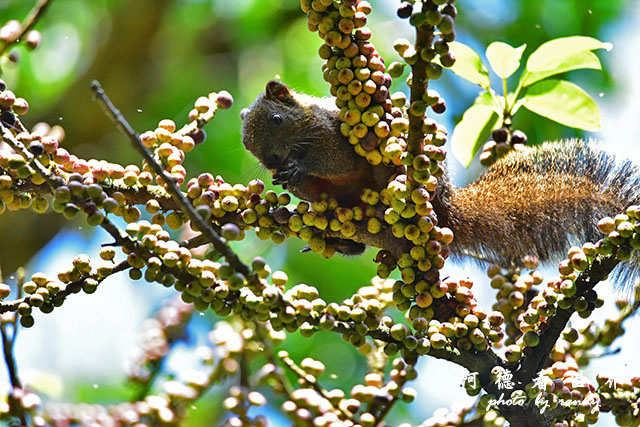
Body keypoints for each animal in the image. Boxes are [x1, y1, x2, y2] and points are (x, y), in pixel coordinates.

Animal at [240, 81, 640, 280]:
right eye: (247, 144)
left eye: (276, 119)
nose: (271, 161)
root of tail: (447, 208)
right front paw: (286, 177)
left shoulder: (333, 137)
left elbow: (333, 162)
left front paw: (298, 168)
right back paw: (336, 240)